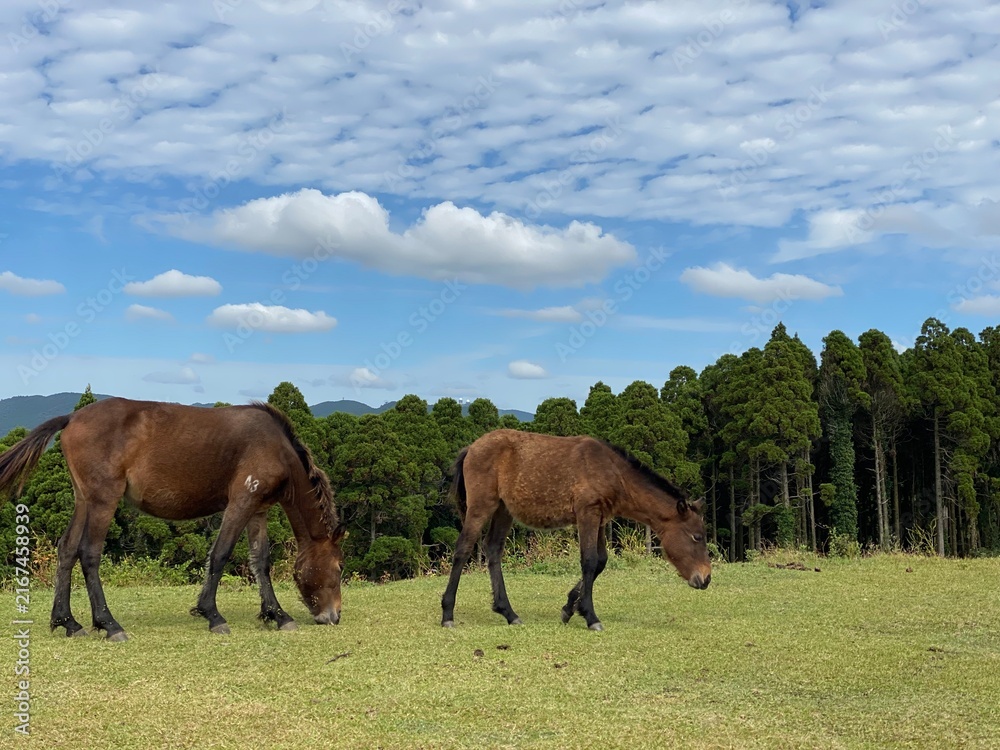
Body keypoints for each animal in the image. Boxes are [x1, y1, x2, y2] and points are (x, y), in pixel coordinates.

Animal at [0, 397, 346, 641]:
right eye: (340, 567)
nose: (335, 616)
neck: (275, 446)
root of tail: (73, 417)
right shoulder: (241, 502)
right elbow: (220, 554)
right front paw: (212, 615)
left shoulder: (258, 510)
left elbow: (260, 561)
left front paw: (276, 614)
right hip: (103, 500)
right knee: (89, 553)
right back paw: (109, 624)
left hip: (84, 500)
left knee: (67, 549)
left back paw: (67, 622)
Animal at [440, 429, 712, 631]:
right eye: (697, 536)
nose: (706, 578)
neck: (611, 470)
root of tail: (471, 448)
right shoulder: (587, 513)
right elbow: (589, 561)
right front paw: (591, 617)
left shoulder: (600, 518)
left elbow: (600, 561)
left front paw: (570, 607)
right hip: (481, 506)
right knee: (463, 549)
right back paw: (448, 614)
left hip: (503, 509)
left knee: (493, 549)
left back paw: (508, 612)